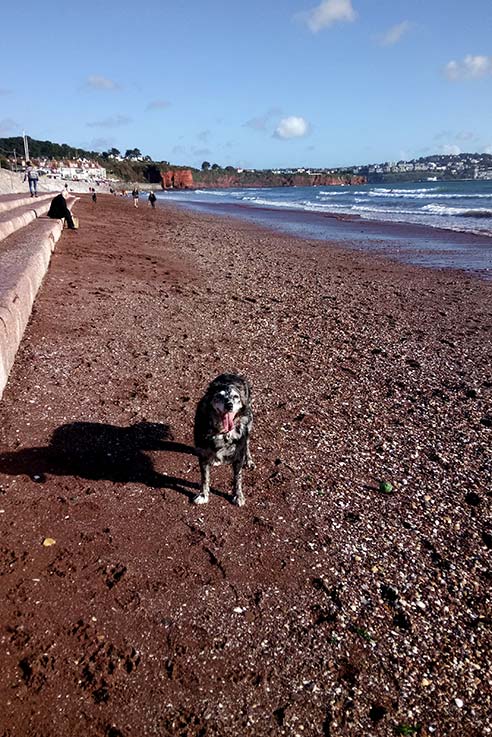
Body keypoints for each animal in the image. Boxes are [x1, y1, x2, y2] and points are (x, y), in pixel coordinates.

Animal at [192, 374, 254, 506]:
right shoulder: (203, 455)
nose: (229, 405)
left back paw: (249, 460)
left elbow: (238, 479)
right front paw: (203, 495)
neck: (222, 432)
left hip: (250, 422)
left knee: (247, 443)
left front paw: (238, 496)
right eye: (219, 396)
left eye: (236, 397)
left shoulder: (238, 456)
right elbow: (204, 478)